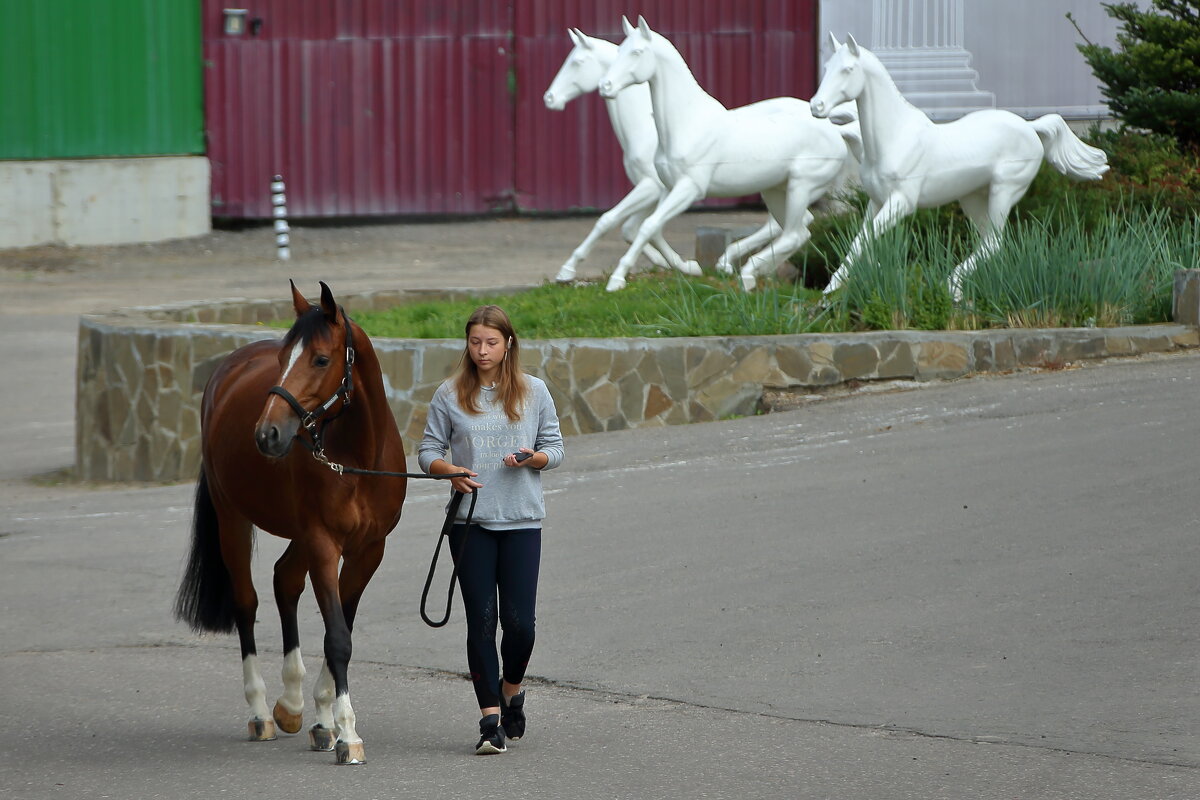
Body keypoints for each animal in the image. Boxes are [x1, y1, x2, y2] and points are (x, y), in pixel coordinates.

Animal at [174, 280, 408, 762]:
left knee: (285, 579)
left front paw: (326, 719)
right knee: (246, 602)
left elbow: (339, 631)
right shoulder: (323, 543)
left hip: (298, 535)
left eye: (320, 359)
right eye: (283, 358)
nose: (267, 434)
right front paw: (348, 734)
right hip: (232, 519)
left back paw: (297, 707)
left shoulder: (367, 551)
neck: (357, 459)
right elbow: (337, 637)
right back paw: (262, 712)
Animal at [811, 31, 1108, 299]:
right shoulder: (876, 201)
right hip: (973, 198)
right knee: (992, 243)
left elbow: (867, 237)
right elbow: (861, 240)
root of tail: (1030, 126)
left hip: (1004, 190)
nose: (816, 106)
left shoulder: (902, 202)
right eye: (826, 68)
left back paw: (952, 286)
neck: (894, 137)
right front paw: (834, 287)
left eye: (848, 69)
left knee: (994, 242)